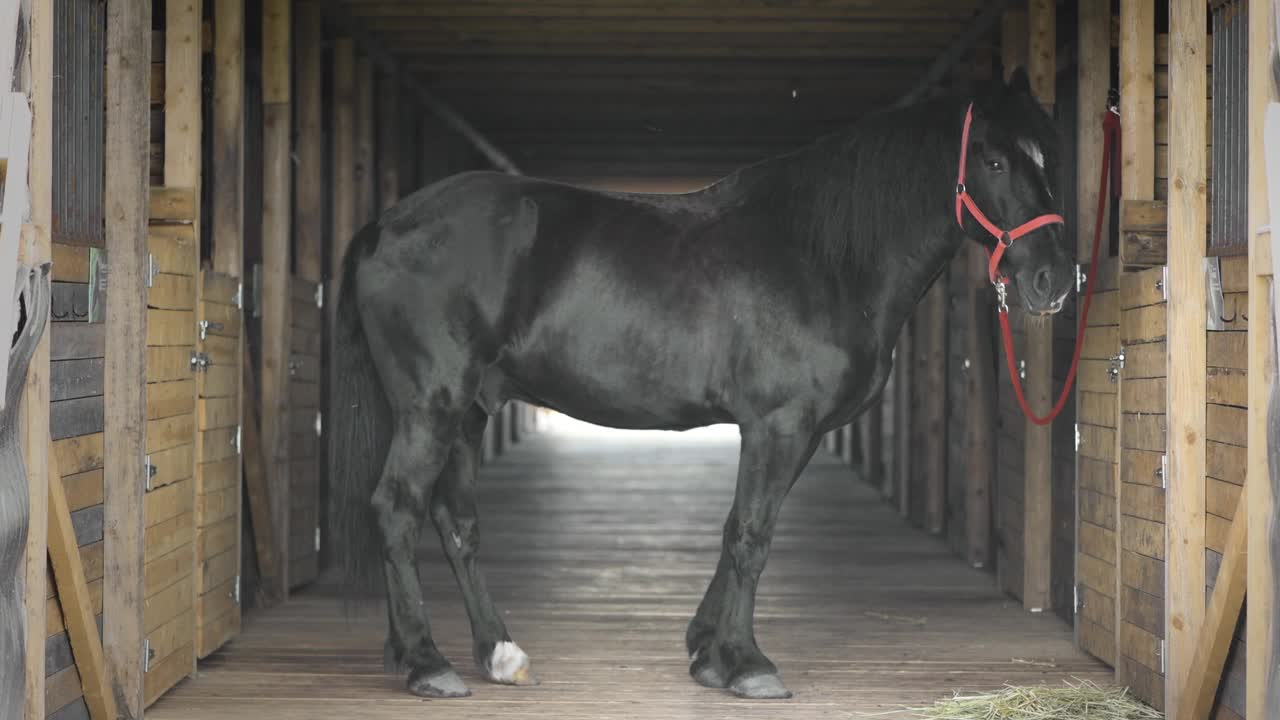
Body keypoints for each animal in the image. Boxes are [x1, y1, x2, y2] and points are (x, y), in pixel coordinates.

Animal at [327, 68, 1070, 702]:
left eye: (1049, 159)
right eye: (995, 162)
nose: (1053, 279)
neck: (822, 256)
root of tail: (385, 226)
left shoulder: (797, 433)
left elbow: (738, 527)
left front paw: (707, 651)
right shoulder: (777, 423)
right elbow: (752, 532)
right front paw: (747, 664)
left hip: (468, 411)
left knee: (456, 523)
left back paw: (494, 653)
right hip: (431, 406)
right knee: (396, 508)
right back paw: (427, 662)